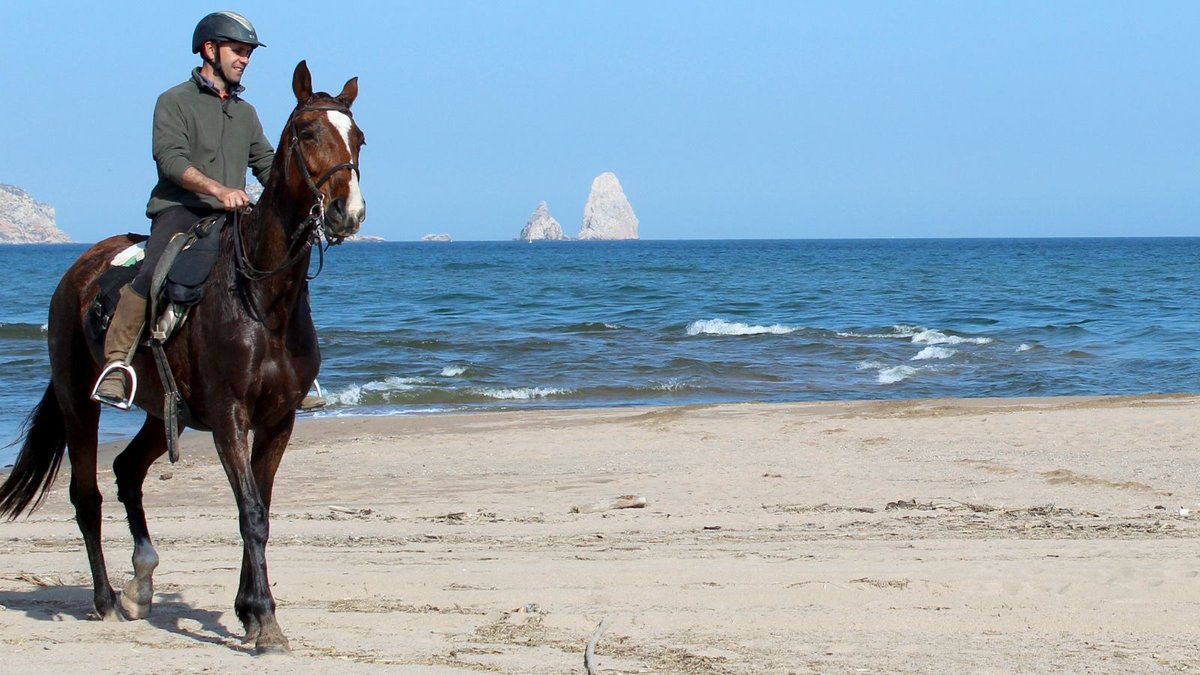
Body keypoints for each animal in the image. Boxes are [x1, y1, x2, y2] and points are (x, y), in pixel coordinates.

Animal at [0, 60, 365, 655]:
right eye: (309, 133)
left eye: (358, 138)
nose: (348, 213)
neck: (262, 299)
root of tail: (78, 272)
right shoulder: (229, 417)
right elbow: (250, 513)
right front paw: (265, 620)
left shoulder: (277, 421)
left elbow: (261, 508)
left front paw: (249, 611)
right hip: (80, 403)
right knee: (87, 495)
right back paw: (107, 600)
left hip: (163, 412)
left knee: (126, 471)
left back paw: (141, 585)